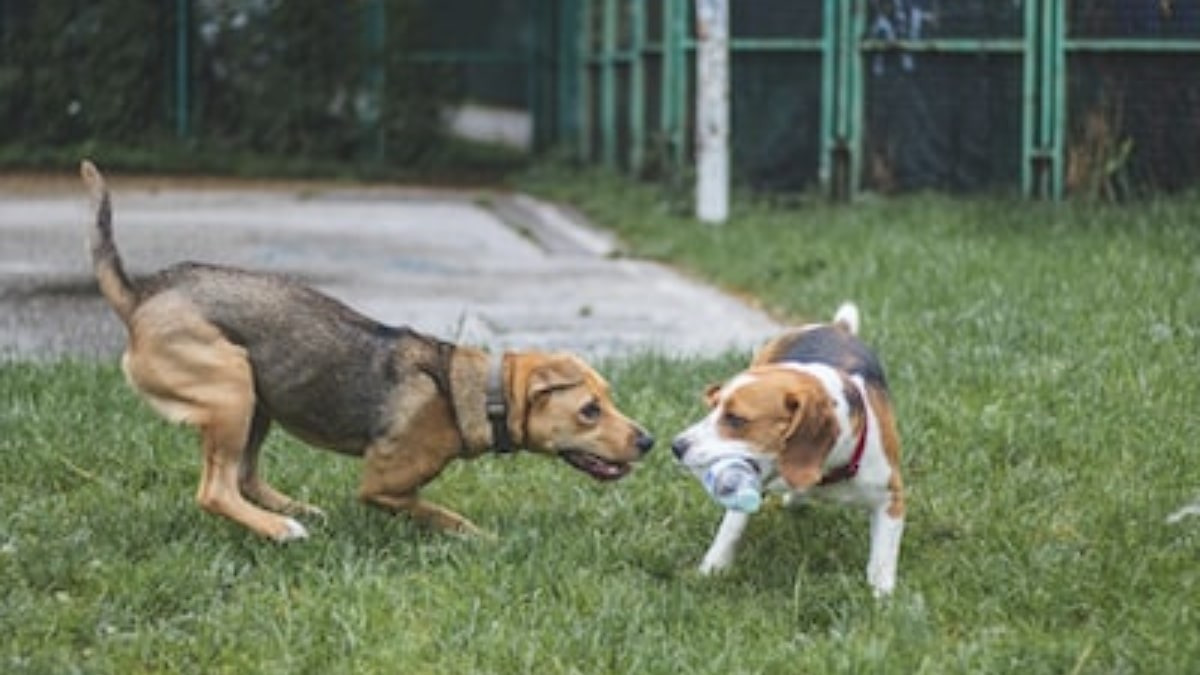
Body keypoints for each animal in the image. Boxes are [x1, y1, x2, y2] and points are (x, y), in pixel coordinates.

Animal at [82, 159, 657, 538]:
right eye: (589, 410)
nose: (649, 441)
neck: (472, 392)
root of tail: (139, 295)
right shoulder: (383, 485)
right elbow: (440, 513)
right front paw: (479, 539)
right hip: (231, 389)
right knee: (216, 490)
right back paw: (282, 528)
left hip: (256, 399)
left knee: (243, 477)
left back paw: (297, 511)